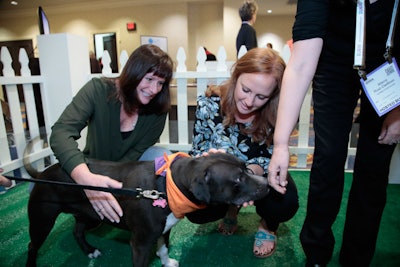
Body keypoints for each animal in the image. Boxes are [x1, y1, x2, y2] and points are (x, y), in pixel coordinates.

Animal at [24, 152, 268, 266]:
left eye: (246, 167)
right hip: (41, 220)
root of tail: (44, 172)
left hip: (92, 214)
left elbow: (163, 248)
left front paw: (166, 262)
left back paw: (89, 250)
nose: (267, 184)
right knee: (32, 245)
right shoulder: (140, 243)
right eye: (238, 179)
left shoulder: (164, 230)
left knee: (77, 231)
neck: (167, 186)